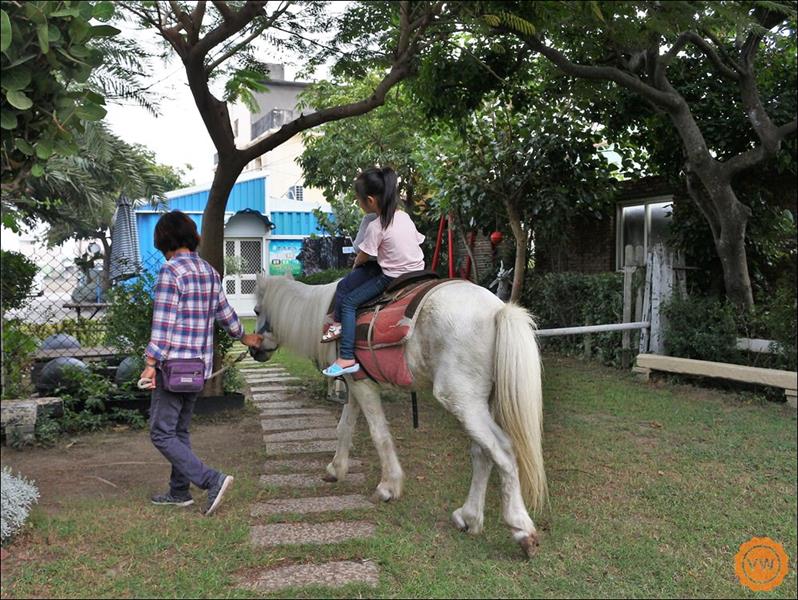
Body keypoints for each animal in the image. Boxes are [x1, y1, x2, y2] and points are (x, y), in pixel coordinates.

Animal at [253, 274, 548, 556]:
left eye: (256, 310)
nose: (254, 351)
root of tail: (497, 310)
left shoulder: (364, 386)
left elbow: (378, 434)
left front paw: (388, 486)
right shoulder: (355, 384)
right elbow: (344, 427)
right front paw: (336, 469)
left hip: (461, 400)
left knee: (503, 451)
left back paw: (521, 529)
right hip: (480, 403)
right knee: (482, 454)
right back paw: (469, 517)